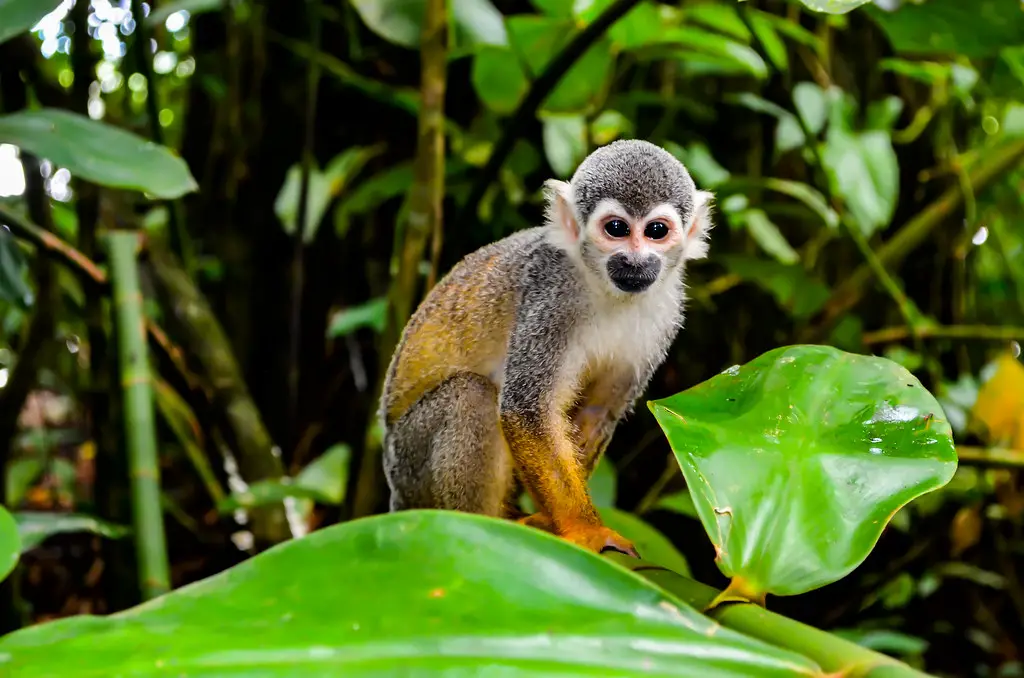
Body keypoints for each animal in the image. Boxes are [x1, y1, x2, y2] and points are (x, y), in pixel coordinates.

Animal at [378, 138, 712, 557]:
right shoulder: (549, 298)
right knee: (470, 395)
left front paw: (553, 519)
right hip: (410, 462)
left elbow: (596, 412)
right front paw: (585, 530)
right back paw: (480, 525)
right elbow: (528, 409)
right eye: (616, 229)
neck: (604, 289)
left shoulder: (665, 315)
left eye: (656, 231)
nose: (635, 260)